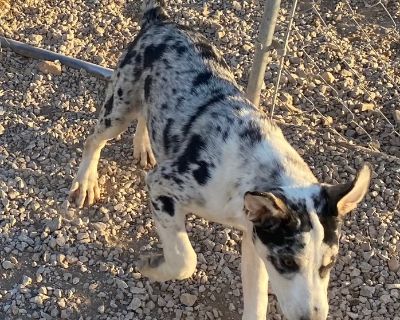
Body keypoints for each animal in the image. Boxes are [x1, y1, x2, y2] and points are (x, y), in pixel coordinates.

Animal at [69, 1, 372, 318]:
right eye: (287, 262)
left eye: (329, 264)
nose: (311, 317)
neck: (250, 170)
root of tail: (161, 21)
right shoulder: (162, 187)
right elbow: (185, 260)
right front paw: (151, 266)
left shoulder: (254, 240)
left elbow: (256, 301)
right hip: (119, 106)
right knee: (94, 140)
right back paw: (85, 182)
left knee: (145, 118)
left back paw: (143, 147)